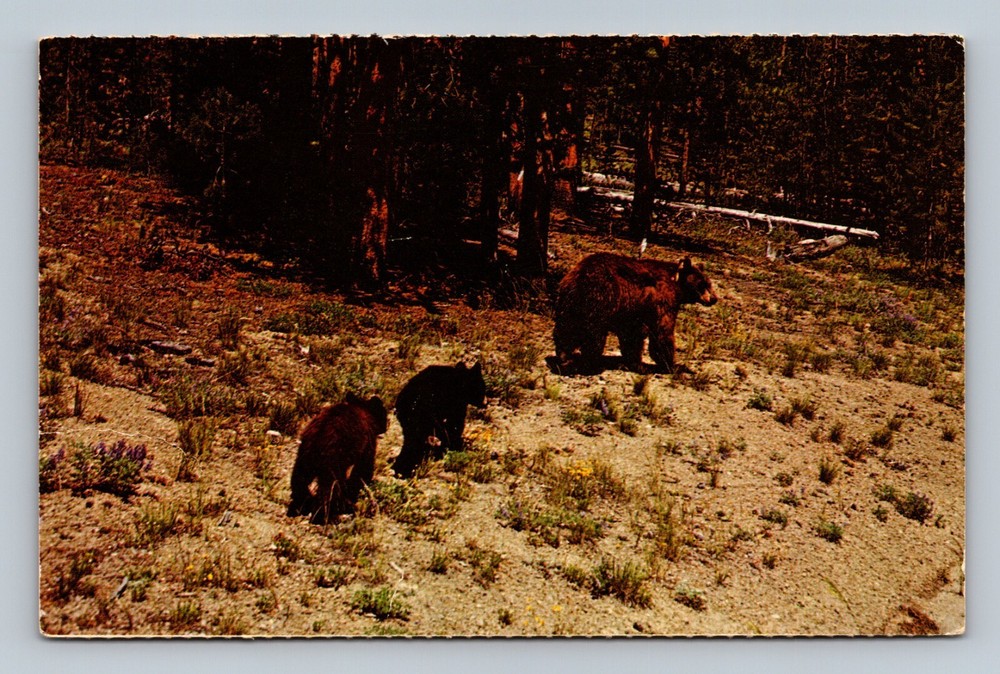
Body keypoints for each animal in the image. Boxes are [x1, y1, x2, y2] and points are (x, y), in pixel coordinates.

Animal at [287, 393, 388, 524]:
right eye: (384, 413)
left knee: (299, 478)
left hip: (304, 455)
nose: (386, 426)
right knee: (331, 486)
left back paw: (303, 503)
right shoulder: (368, 442)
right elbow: (363, 468)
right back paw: (326, 515)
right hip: (333, 458)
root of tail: (318, 437)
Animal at [553, 252, 718, 374]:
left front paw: (637, 364)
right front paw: (671, 365)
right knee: (594, 337)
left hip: (568, 304)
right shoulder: (663, 301)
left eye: (709, 283)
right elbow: (662, 332)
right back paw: (590, 365)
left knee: (565, 332)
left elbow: (632, 337)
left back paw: (564, 359)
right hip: (599, 300)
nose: (714, 298)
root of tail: (578, 276)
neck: (676, 286)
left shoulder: (634, 313)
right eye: (702, 284)